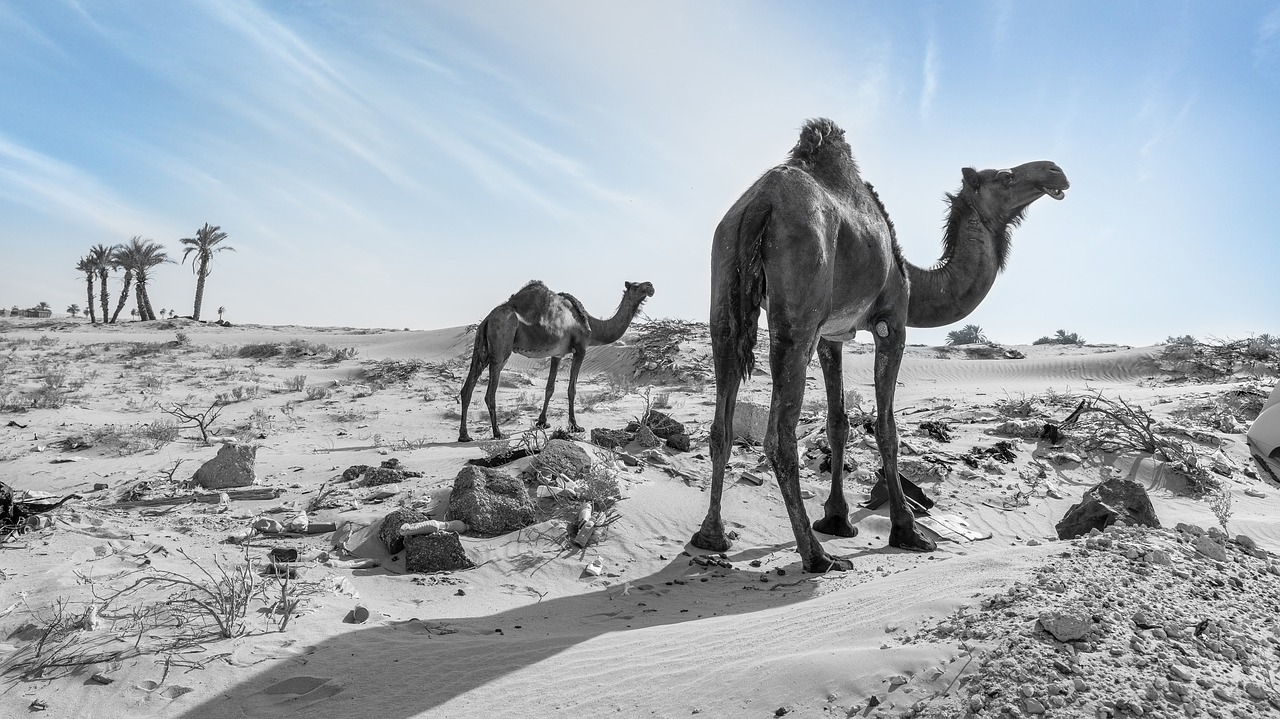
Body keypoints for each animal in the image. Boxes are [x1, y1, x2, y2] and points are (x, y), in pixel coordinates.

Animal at [460, 277, 655, 440]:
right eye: (636, 286)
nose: (650, 286)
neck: (592, 326)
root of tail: (487, 320)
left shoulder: (557, 354)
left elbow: (550, 388)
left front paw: (542, 422)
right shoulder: (580, 349)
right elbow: (571, 389)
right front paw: (575, 426)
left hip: (481, 348)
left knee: (467, 388)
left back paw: (464, 435)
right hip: (502, 344)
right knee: (489, 393)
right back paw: (498, 433)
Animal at [696, 118, 1064, 570]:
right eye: (1006, 176)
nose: (1054, 171)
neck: (913, 278)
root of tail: (758, 205)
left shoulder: (832, 335)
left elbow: (839, 423)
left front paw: (837, 519)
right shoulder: (892, 322)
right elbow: (886, 427)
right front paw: (907, 530)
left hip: (724, 285)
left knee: (722, 423)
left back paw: (712, 536)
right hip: (797, 311)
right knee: (780, 435)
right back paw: (817, 557)